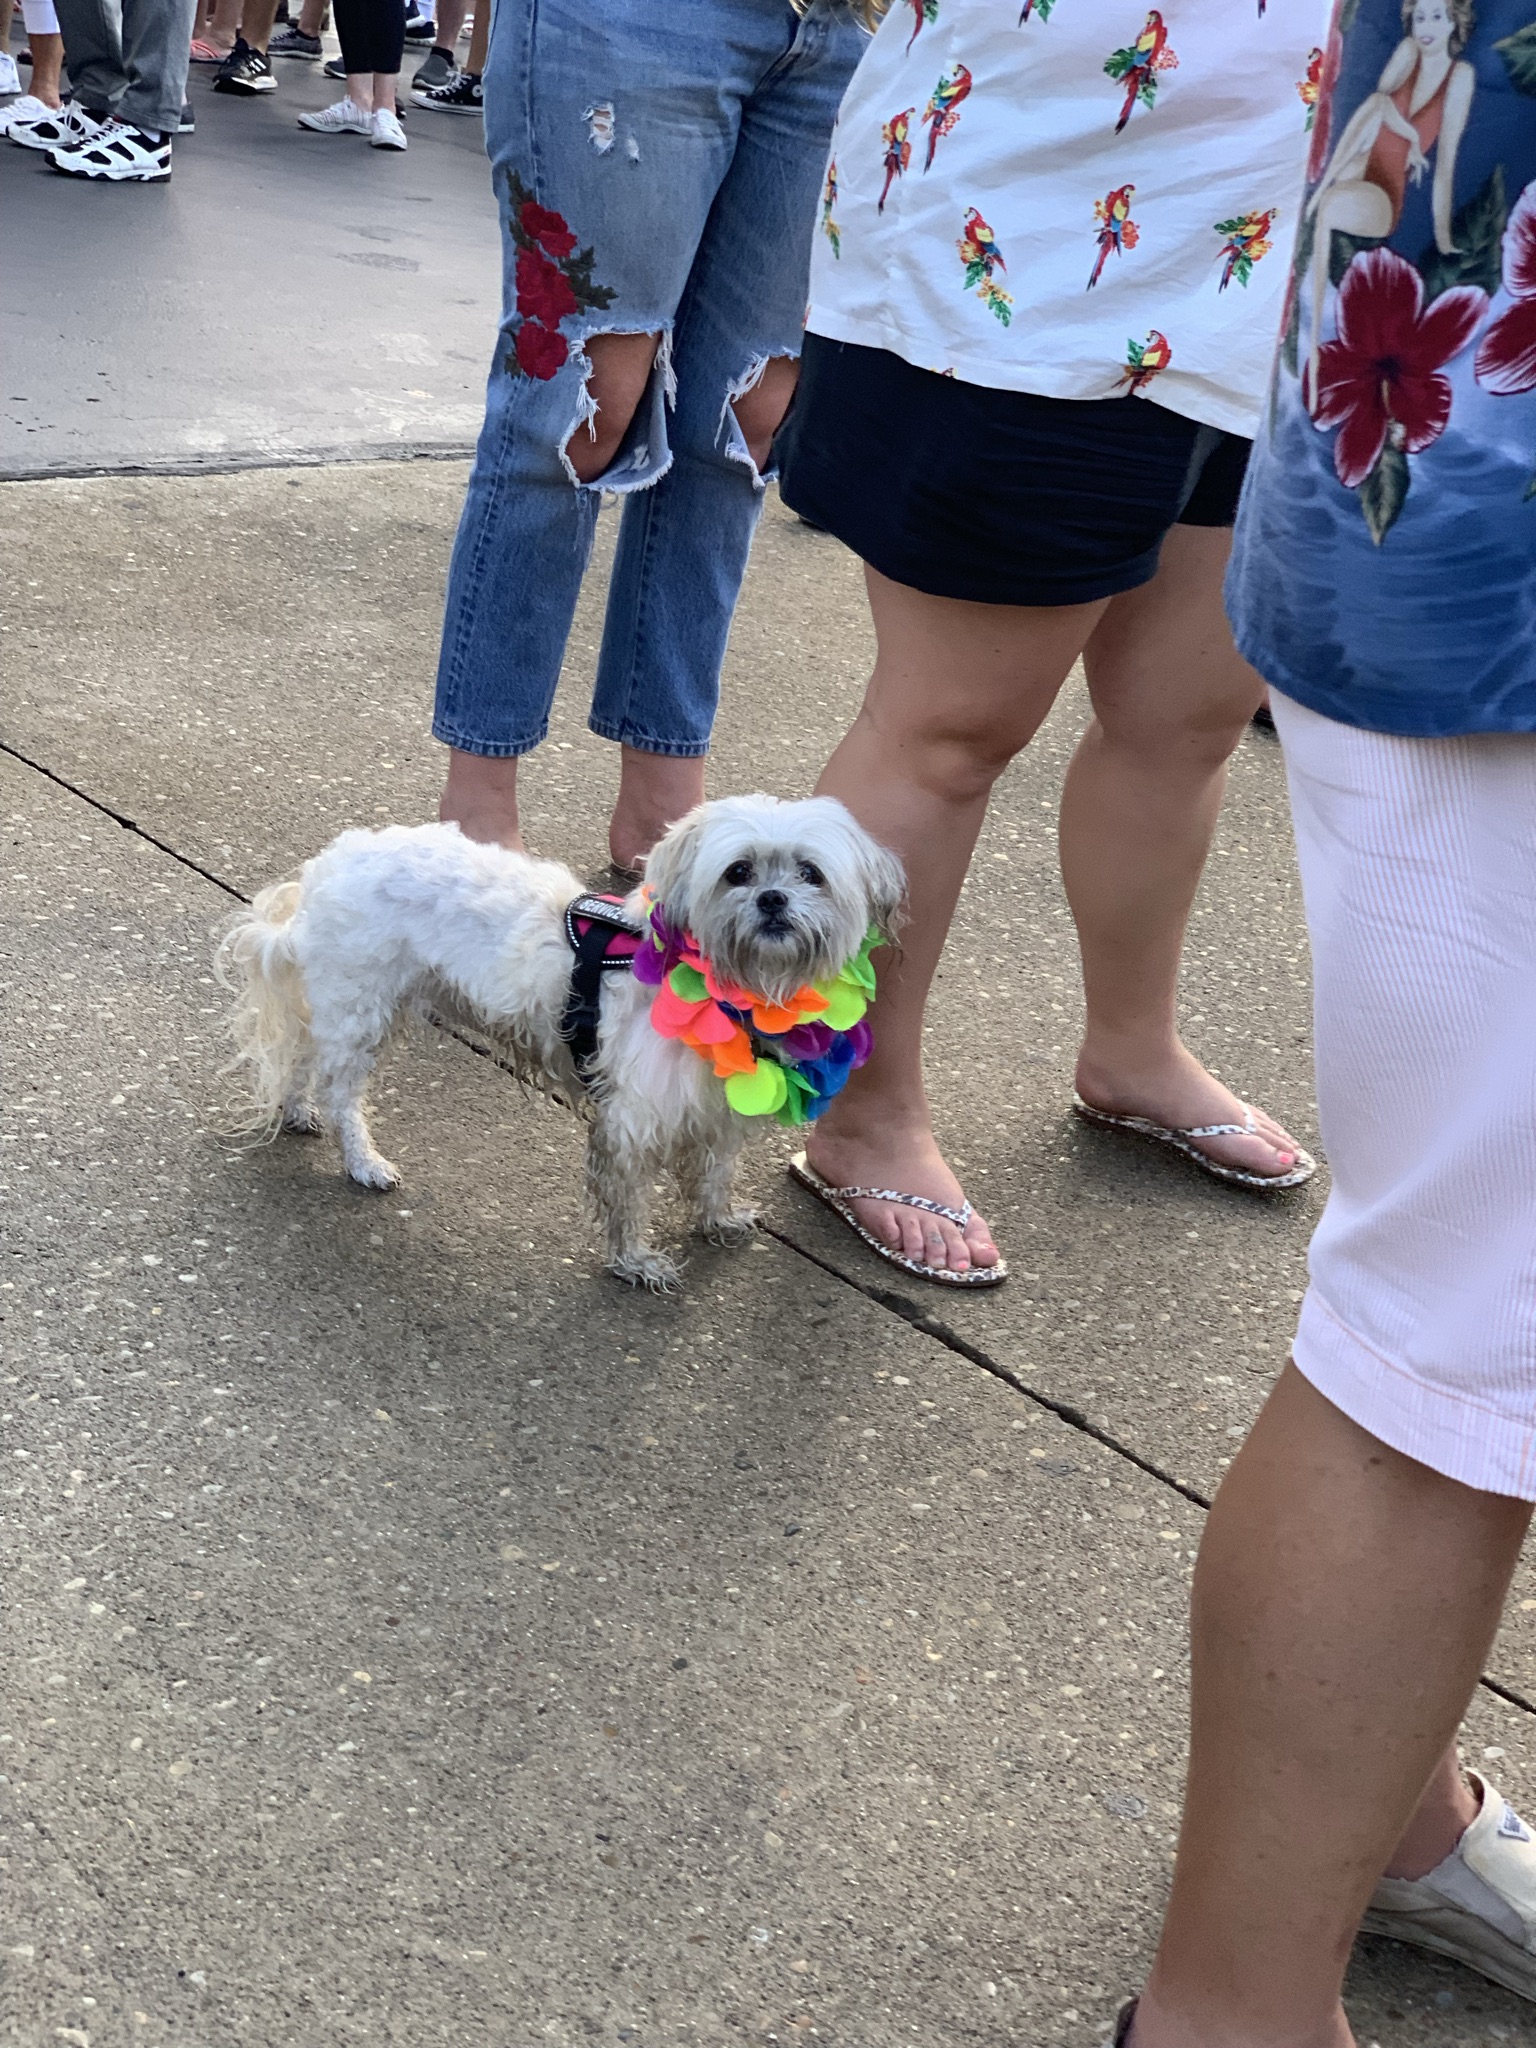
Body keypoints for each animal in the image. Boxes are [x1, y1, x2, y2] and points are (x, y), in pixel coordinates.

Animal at [222, 790, 909, 1286]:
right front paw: (634, 1262)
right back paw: (362, 1160)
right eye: (737, 872)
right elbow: (628, 1198)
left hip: (348, 1006)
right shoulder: (632, 1121)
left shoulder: (717, 1109)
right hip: (365, 1006)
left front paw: (717, 1219)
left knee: (306, 1059)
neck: (729, 987)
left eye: (810, 873)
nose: (771, 899)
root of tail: (327, 867)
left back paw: (298, 1110)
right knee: (342, 1093)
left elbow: (713, 1173)